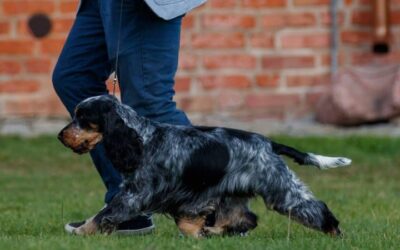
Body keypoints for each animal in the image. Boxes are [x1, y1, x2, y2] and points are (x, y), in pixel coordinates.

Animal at [57, 94, 350, 237]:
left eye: (83, 117)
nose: (60, 136)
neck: (142, 139)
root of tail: (268, 142)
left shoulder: (135, 194)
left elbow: (104, 213)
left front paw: (82, 232)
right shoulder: (188, 197)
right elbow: (188, 222)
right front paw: (198, 233)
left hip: (280, 189)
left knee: (316, 208)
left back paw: (335, 233)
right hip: (232, 194)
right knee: (246, 219)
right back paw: (214, 230)